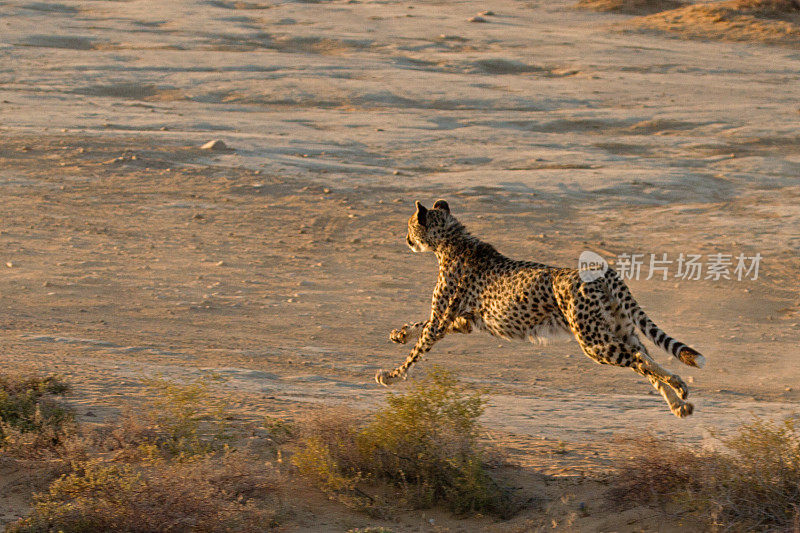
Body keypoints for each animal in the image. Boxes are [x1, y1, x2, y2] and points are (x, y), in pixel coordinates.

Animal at [376, 197, 708, 418]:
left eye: (410, 225)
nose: (406, 239)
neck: (450, 240)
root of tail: (601, 268)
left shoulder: (442, 321)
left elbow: (417, 349)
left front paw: (391, 375)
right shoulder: (464, 322)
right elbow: (419, 326)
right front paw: (398, 334)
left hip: (593, 341)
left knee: (639, 359)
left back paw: (678, 384)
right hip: (617, 330)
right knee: (644, 358)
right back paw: (679, 403)